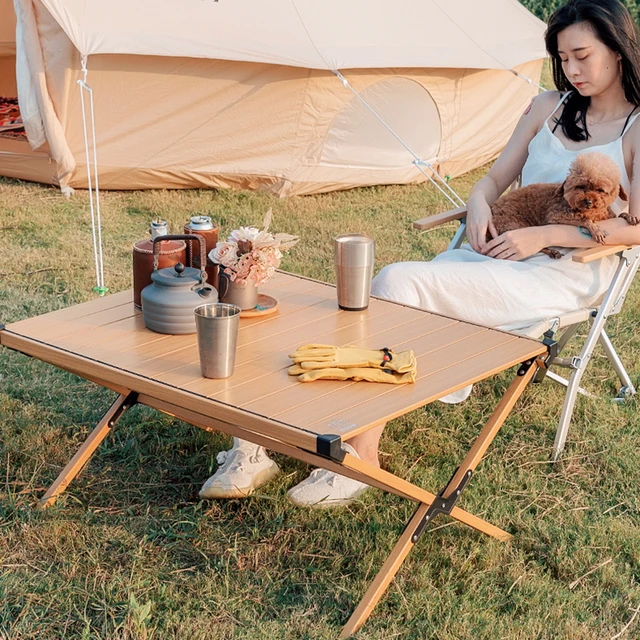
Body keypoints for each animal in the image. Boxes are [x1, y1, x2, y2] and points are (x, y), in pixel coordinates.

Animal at [490, 151, 636, 258]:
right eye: (580, 186)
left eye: (600, 190)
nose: (588, 201)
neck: (593, 212)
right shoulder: (556, 216)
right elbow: (584, 220)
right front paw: (595, 229)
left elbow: (620, 215)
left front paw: (629, 216)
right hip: (513, 225)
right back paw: (552, 251)